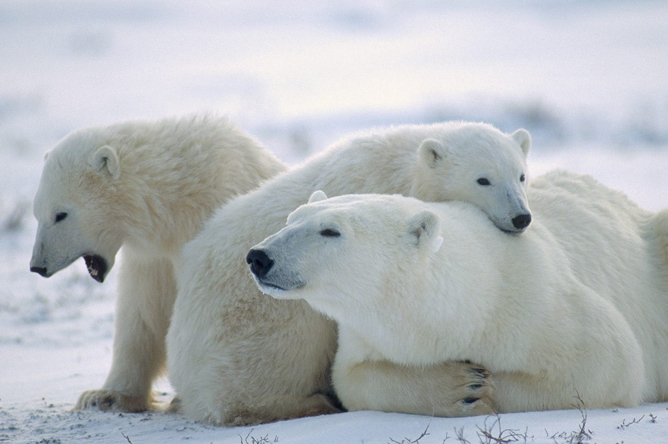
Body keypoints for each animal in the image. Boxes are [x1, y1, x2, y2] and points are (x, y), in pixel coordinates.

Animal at [30, 114, 286, 412]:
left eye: (61, 214)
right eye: (36, 213)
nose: (37, 266)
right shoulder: (152, 259)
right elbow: (142, 313)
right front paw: (104, 395)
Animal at [168, 119, 532, 424]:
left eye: (521, 175)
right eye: (483, 179)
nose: (521, 217)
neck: (404, 168)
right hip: (251, 325)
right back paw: (311, 403)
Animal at [249, 174, 668, 416]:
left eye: (330, 231)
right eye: (291, 219)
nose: (259, 257)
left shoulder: (540, 307)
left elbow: (609, 363)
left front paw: (484, 388)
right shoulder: (366, 336)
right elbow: (354, 379)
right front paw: (460, 388)